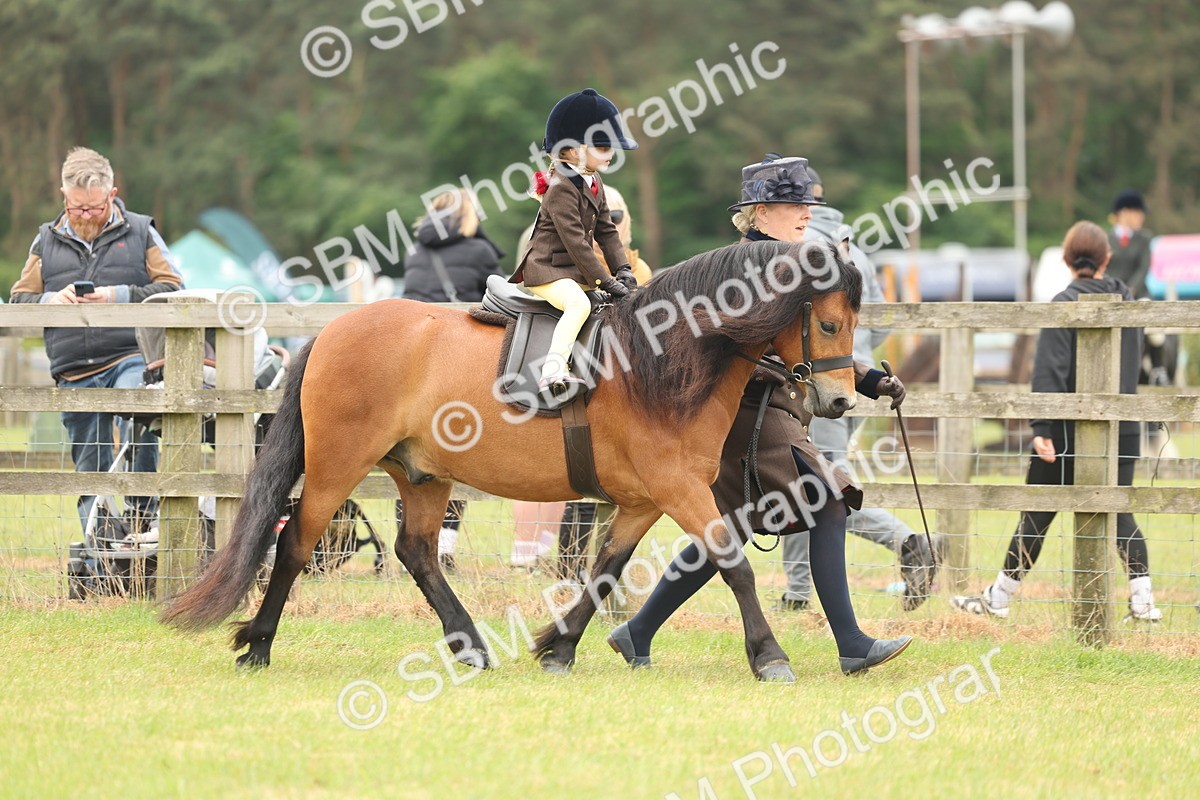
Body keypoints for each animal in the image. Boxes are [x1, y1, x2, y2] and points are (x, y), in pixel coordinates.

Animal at [162, 238, 864, 681]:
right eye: (830, 325)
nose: (839, 399)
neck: (662, 359)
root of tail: (334, 330)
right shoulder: (678, 490)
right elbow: (736, 567)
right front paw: (769, 656)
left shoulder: (645, 501)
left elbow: (603, 573)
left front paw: (558, 648)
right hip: (338, 467)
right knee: (294, 545)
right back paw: (258, 646)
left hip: (423, 475)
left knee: (418, 553)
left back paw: (470, 645)